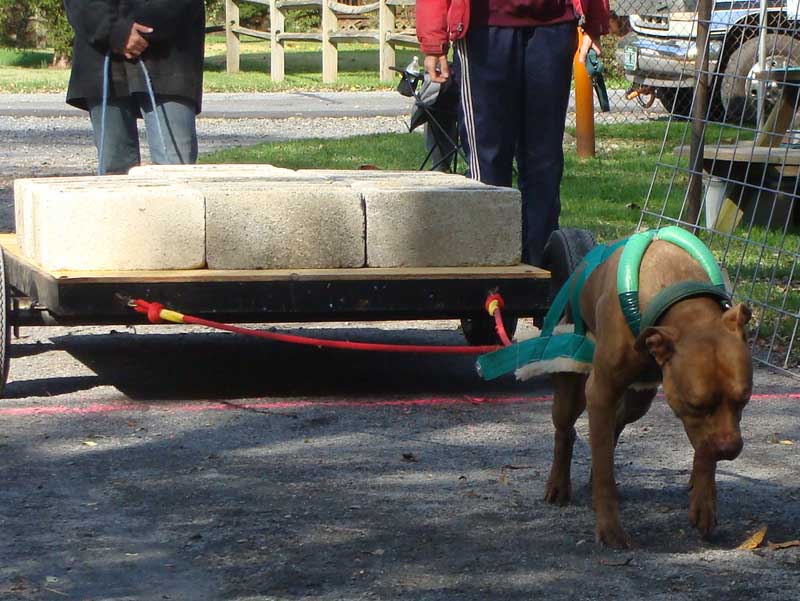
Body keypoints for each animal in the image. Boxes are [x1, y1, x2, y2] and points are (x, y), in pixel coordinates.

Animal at [544, 239, 752, 548]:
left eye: (744, 399)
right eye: (697, 405)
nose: (729, 450)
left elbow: (703, 449)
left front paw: (704, 502)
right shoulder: (601, 391)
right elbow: (604, 470)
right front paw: (610, 527)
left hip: (639, 400)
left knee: (615, 426)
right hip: (572, 387)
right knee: (567, 431)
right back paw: (558, 483)